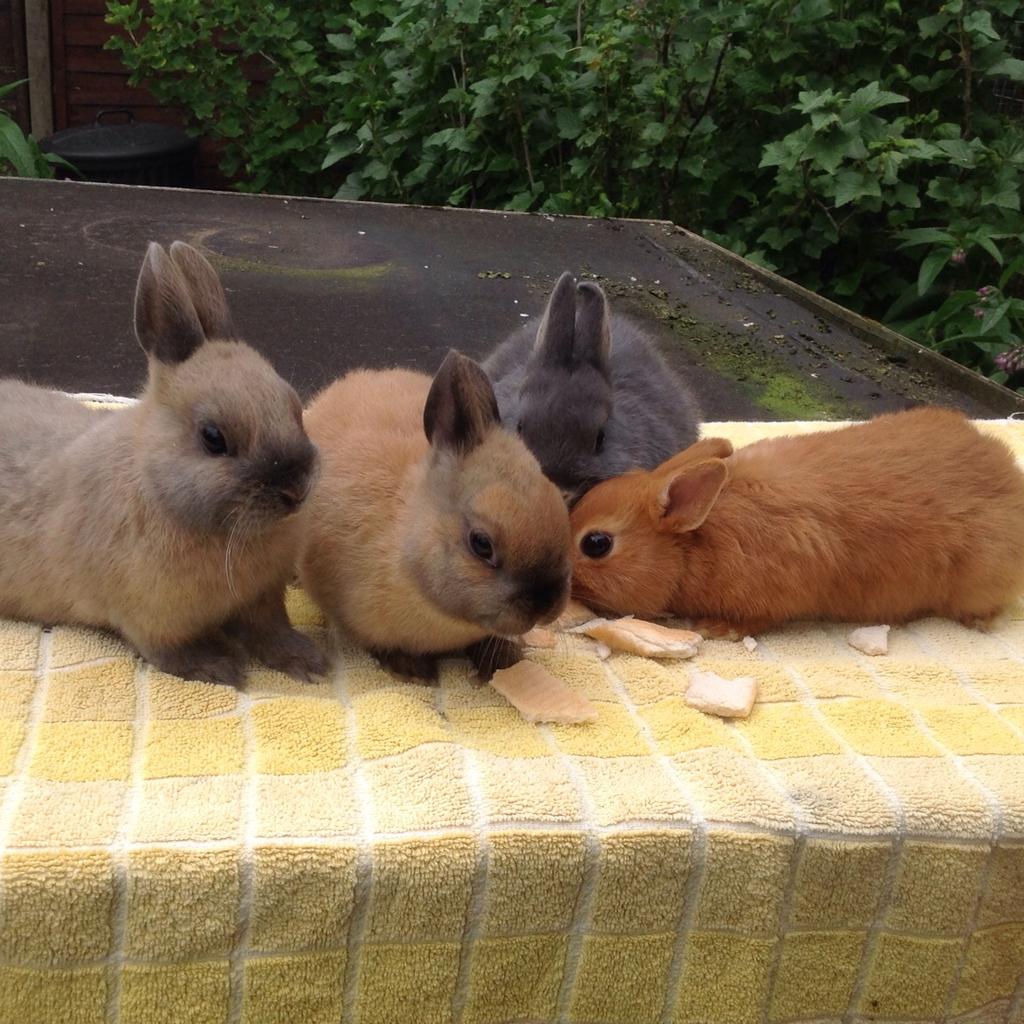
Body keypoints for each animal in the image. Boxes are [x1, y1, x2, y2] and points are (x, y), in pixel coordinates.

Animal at [0, 241, 327, 686]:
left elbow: (271, 631)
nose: (295, 491)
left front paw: (307, 662)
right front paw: (220, 666)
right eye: (213, 438)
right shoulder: (150, 618)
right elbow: (170, 653)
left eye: (295, 408)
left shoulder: (263, 598)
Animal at [569, 408, 1024, 637]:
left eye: (596, 544)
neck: (697, 540)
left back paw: (979, 622)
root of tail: (1012, 481)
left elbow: (758, 620)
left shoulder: (777, 593)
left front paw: (717, 629)